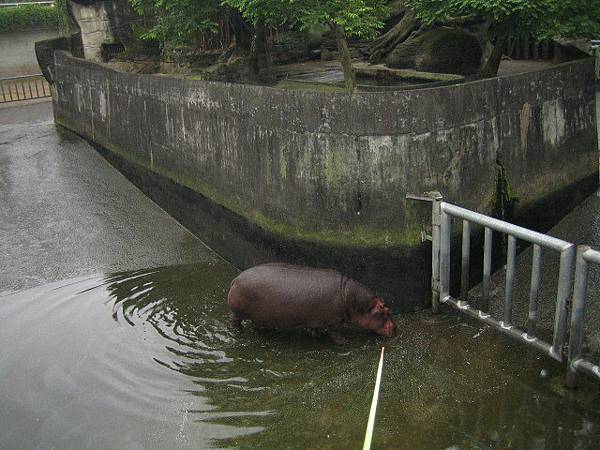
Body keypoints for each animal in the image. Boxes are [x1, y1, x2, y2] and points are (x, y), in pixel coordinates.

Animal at [225, 262, 394, 342]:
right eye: (385, 310)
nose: (396, 328)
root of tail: (235, 279)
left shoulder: (316, 319)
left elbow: (315, 328)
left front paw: (314, 334)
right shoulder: (334, 321)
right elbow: (334, 333)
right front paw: (345, 341)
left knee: (257, 322)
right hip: (239, 313)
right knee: (236, 321)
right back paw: (240, 331)